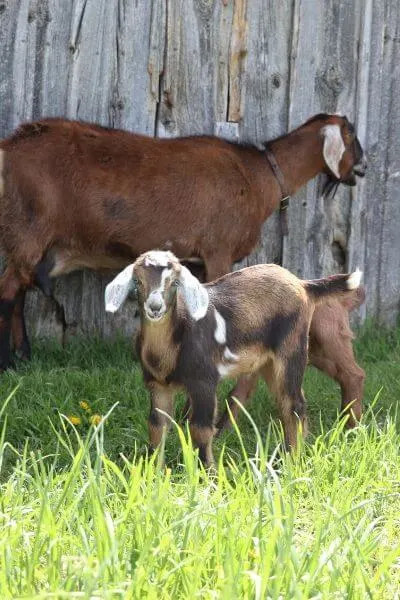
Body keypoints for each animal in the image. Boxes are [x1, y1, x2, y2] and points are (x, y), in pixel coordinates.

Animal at [0, 112, 368, 426]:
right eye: (351, 135)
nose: (363, 168)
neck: (258, 174)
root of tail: (10, 147)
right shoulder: (218, 250)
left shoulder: (198, 262)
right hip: (28, 229)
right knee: (8, 292)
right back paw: (10, 362)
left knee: (18, 291)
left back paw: (23, 356)